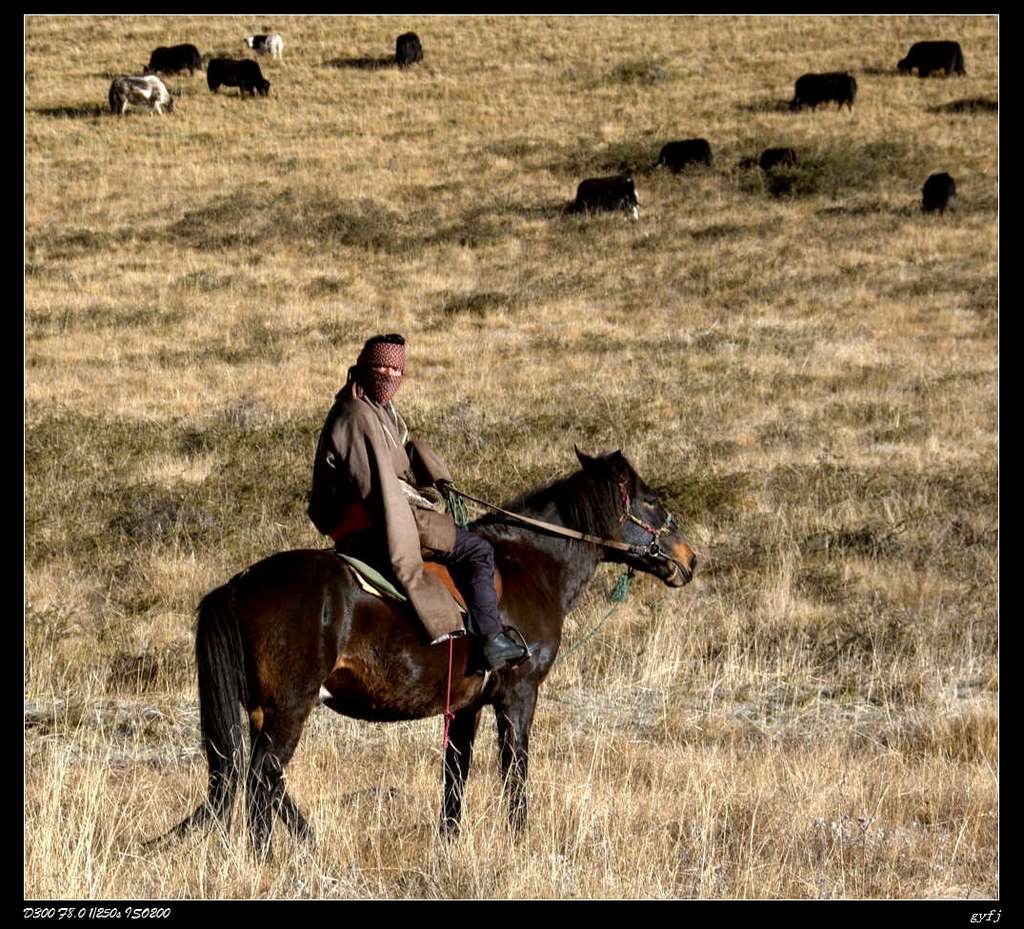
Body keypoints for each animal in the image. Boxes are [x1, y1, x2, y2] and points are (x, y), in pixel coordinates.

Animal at [149, 446, 696, 852]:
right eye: (650, 501)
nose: (690, 559)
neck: (530, 564)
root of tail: (238, 584)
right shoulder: (518, 695)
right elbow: (514, 771)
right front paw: (519, 840)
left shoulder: (466, 705)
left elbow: (456, 775)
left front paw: (449, 842)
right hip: (289, 706)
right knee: (263, 778)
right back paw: (277, 855)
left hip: (267, 710)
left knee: (261, 779)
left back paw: (306, 845)